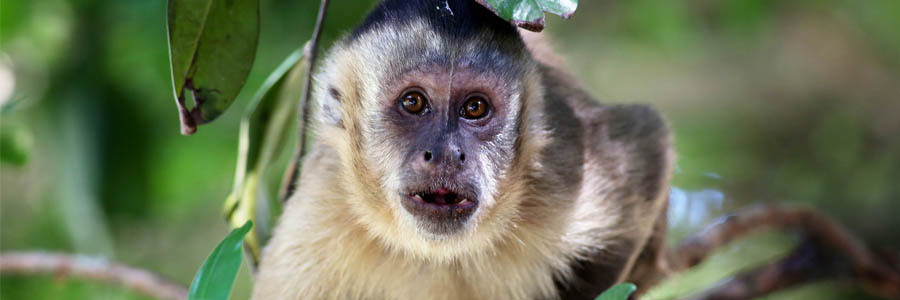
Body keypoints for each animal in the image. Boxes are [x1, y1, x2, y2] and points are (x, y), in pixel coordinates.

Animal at [250, 1, 672, 298]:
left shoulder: (562, 171)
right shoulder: (316, 220)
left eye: (475, 108)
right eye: (413, 103)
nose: (447, 154)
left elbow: (648, 138)